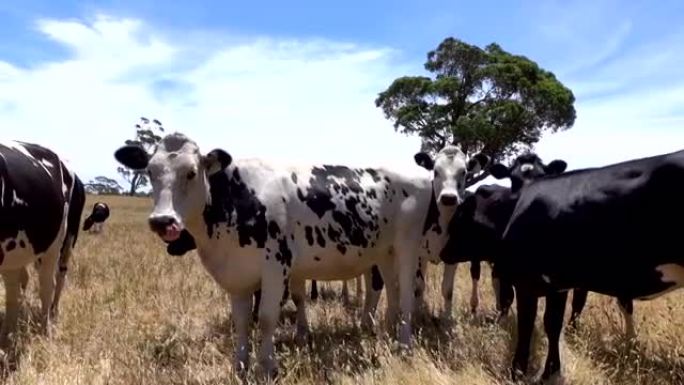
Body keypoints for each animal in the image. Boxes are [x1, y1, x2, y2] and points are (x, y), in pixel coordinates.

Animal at [446, 148, 684, 382]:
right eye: (512, 178)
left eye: (460, 217)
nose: (444, 253)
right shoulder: (556, 284)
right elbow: (552, 324)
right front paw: (550, 371)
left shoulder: (526, 281)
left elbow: (526, 323)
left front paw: (517, 371)